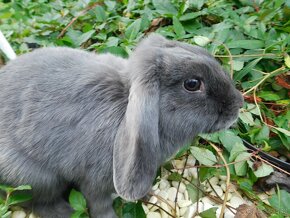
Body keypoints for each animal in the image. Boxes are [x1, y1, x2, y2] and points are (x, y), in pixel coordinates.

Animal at [0, 33, 244, 217]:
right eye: (192, 84)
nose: (238, 104)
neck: (125, 104)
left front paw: (148, 194)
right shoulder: (95, 181)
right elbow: (99, 204)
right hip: (40, 180)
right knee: (40, 203)